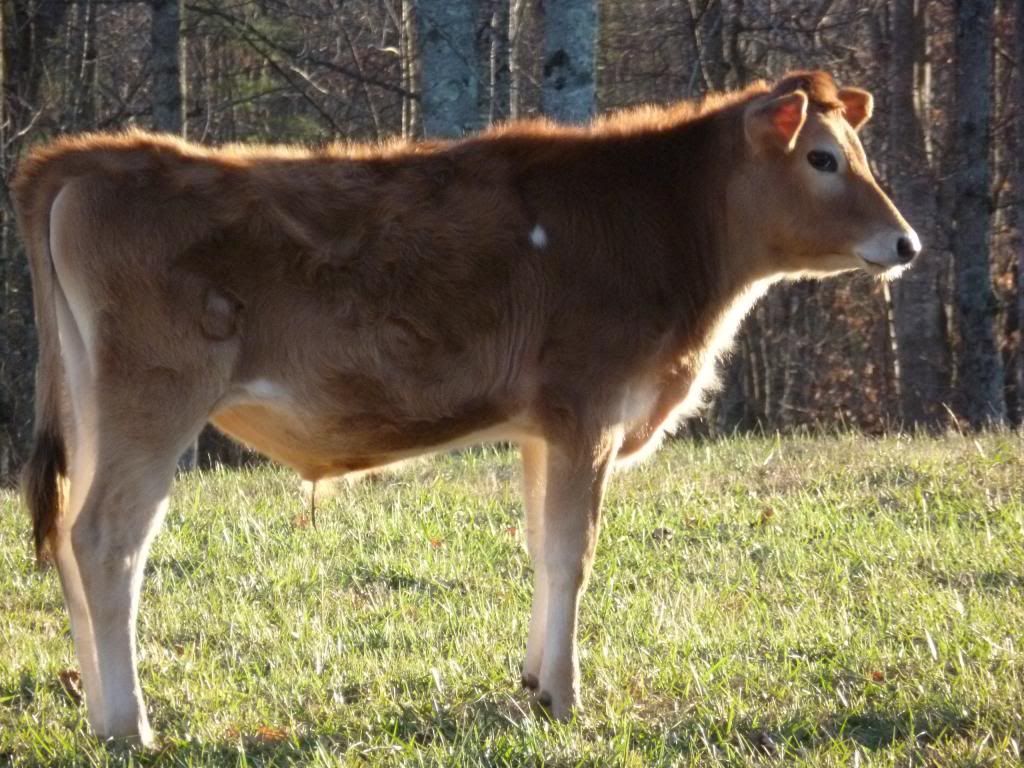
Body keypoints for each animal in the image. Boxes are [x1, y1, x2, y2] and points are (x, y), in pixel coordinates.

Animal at [16, 70, 919, 745]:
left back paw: (98, 714)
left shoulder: (546, 429)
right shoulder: (589, 409)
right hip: (153, 397)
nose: (907, 243)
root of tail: (90, 157)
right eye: (822, 158)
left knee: (68, 537)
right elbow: (574, 553)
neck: (657, 224)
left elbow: (542, 549)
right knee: (106, 541)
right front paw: (567, 698)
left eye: (856, 151)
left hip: (96, 403)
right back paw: (132, 724)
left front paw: (535, 683)